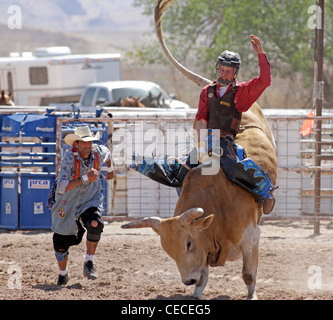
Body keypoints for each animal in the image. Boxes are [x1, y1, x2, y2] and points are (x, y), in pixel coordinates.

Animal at [120, 0, 276, 300]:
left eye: (189, 243)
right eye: (168, 250)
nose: (187, 280)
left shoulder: (252, 238)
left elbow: (249, 274)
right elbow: (204, 275)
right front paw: (195, 292)